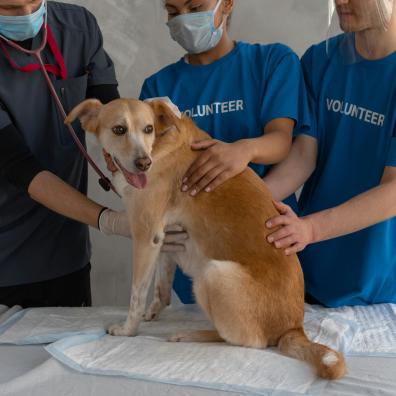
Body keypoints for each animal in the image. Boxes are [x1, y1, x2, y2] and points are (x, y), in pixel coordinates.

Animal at [65, 97, 346, 378]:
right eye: (119, 130)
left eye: (148, 129)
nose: (144, 163)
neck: (159, 143)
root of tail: (293, 328)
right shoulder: (165, 238)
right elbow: (160, 288)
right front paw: (152, 312)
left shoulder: (146, 235)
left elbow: (136, 294)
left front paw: (127, 330)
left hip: (213, 273)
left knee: (249, 341)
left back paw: (192, 334)